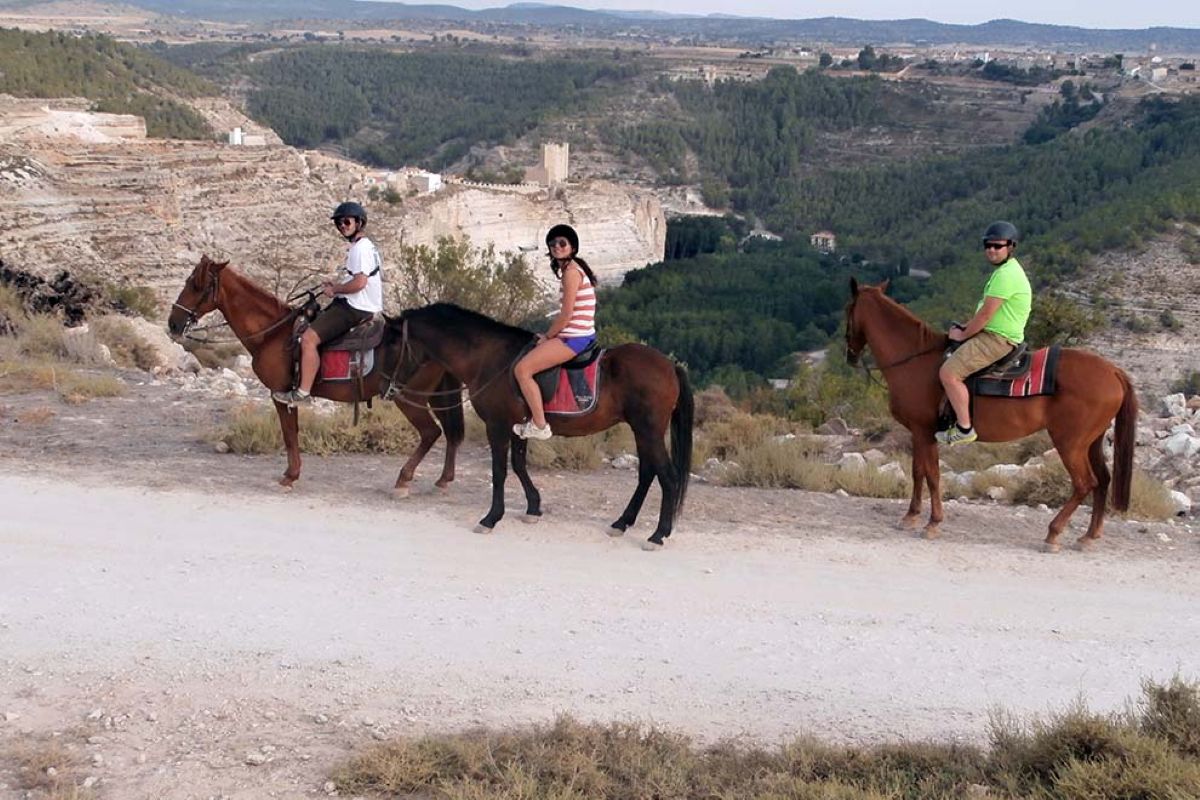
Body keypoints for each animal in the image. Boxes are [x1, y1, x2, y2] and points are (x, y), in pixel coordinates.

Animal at [167, 255, 464, 493]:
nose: (173, 323)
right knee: (450, 433)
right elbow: (293, 433)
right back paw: (443, 480)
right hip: (434, 395)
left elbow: (289, 434)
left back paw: (404, 479)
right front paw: (292, 473)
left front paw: (290, 476)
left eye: (195, 284)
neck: (274, 333)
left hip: (408, 398)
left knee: (431, 433)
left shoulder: (281, 394)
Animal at [385, 303, 693, 549]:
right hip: (641, 431)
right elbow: (519, 465)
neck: (488, 357)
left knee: (668, 477)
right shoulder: (517, 426)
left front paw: (491, 518)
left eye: (391, 345)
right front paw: (533, 508)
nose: (390, 389)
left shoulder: (497, 426)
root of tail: (670, 366)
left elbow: (500, 471)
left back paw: (658, 535)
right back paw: (621, 523)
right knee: (647, 474)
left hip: (649, 430)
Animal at [844, 278, 1138, 552]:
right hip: (1091, 442)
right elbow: (919, 472)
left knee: (1084, 483)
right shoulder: (920, 433)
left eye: (848, 309)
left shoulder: (923, 431)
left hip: (1070, 443)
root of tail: (1113, 371)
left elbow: (931, 475)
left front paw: (932, 523)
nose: (850, 355)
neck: (915, 361)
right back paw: (1089, 536)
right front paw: (912, 517)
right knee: (1103, 480)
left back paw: (1053, 534)